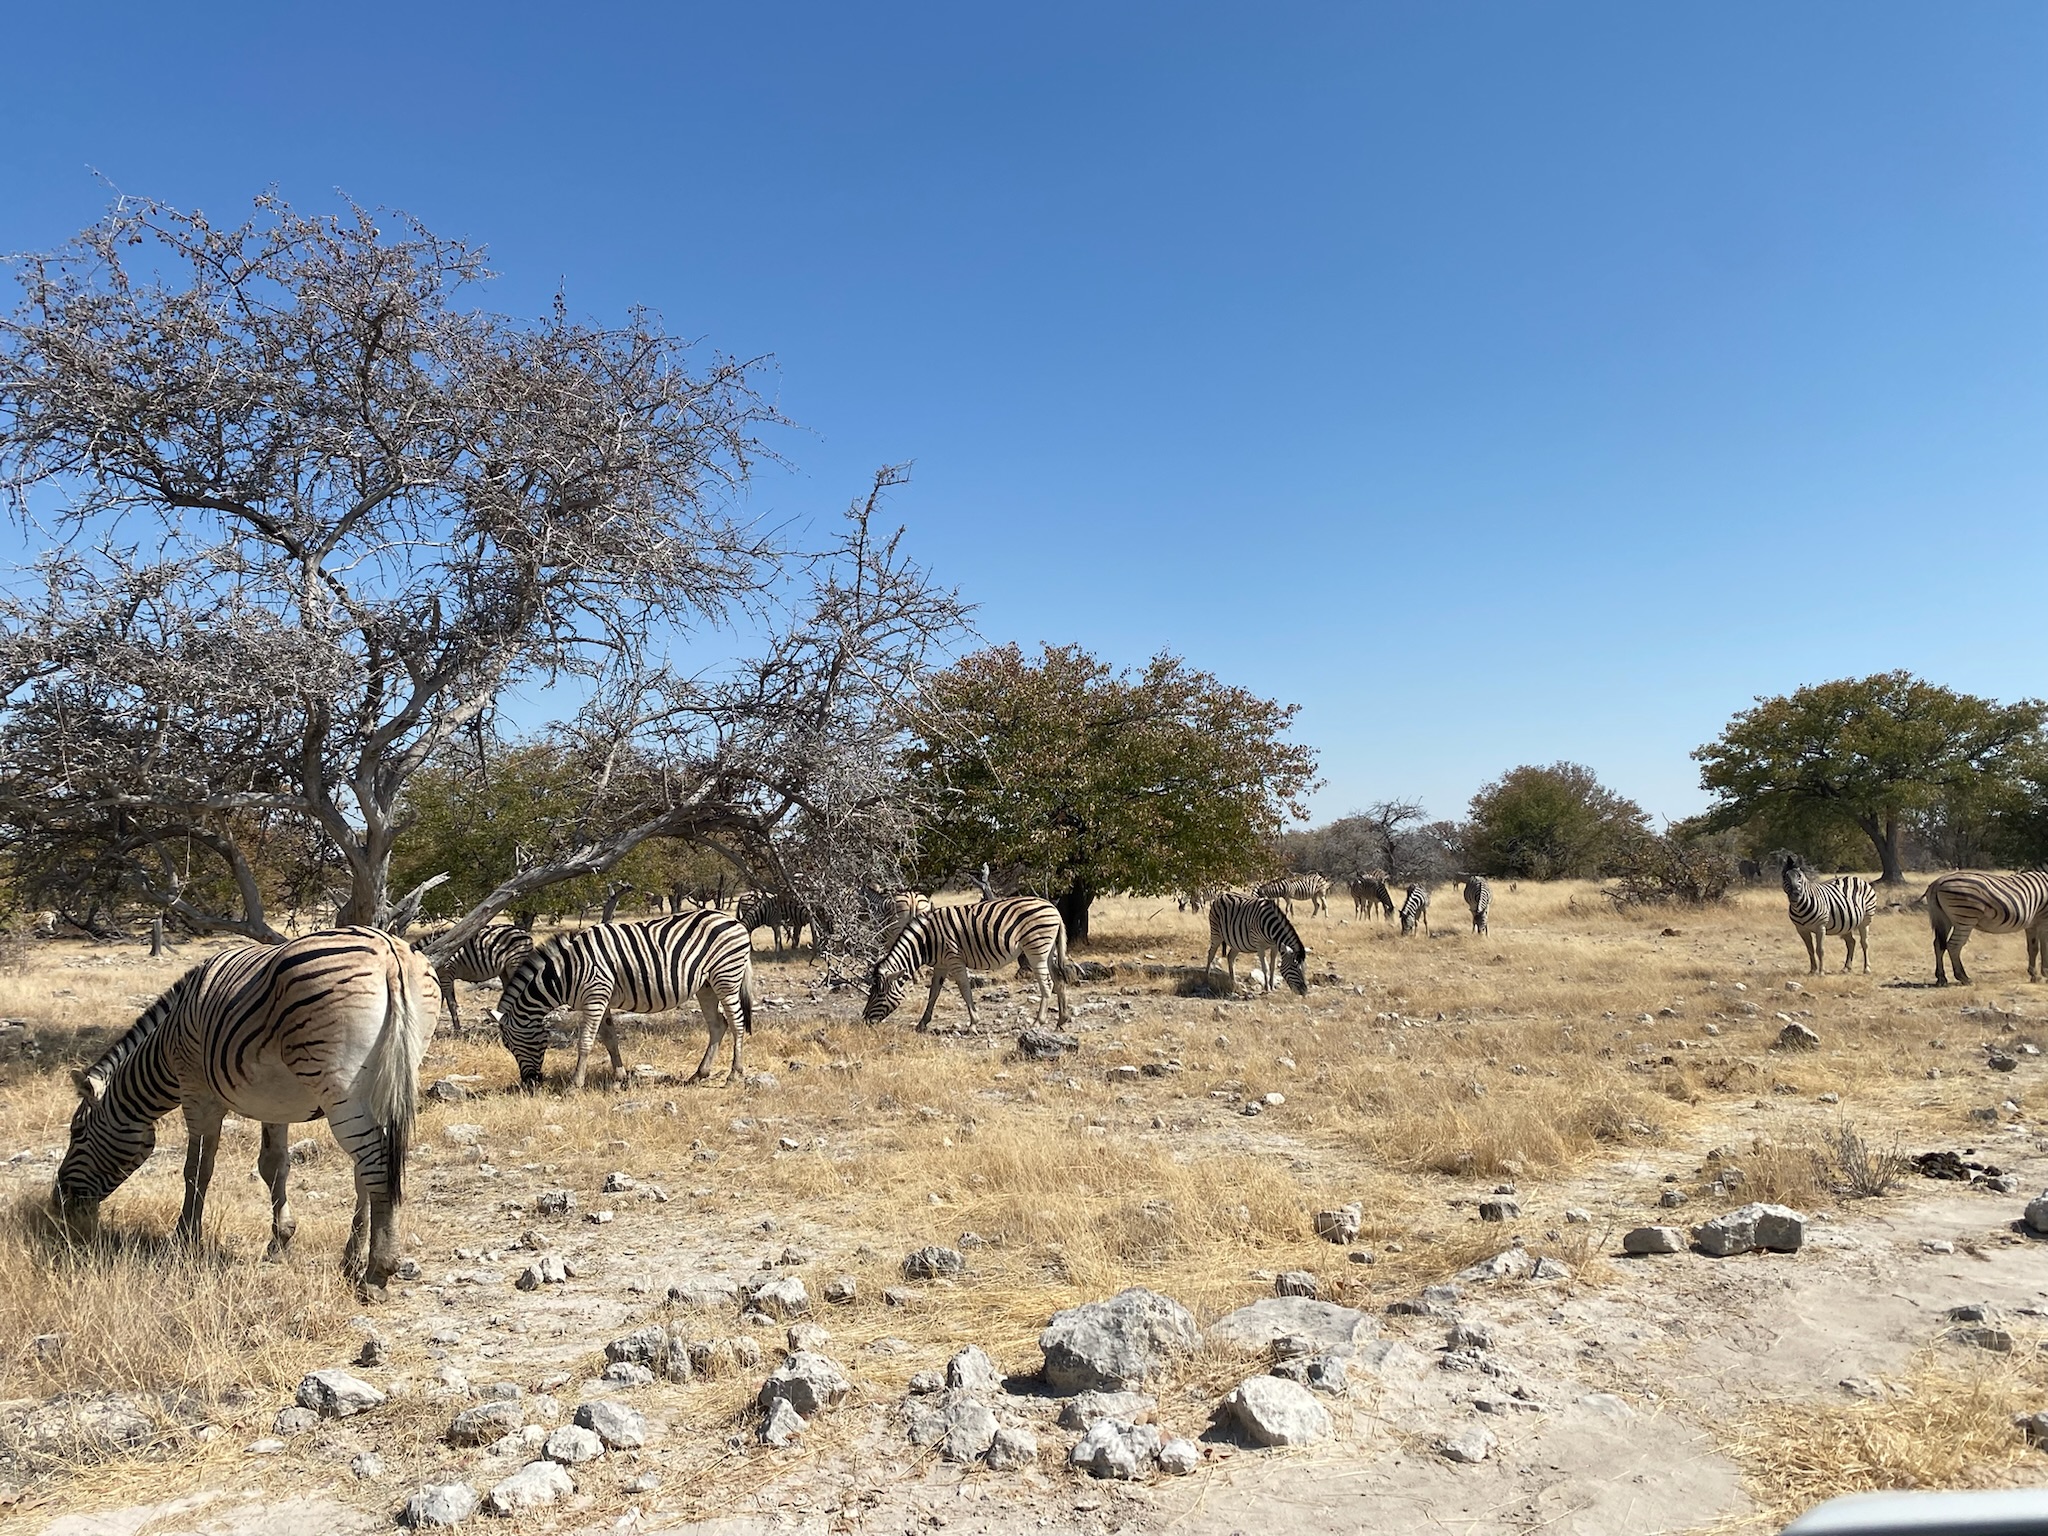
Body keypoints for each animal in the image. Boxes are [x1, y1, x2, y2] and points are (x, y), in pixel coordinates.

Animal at [53, 928, 438, 1287]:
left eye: (77, 1132)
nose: (59, 1201)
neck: (165, 1046)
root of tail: (389, 952)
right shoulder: (276, 1105)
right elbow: (273, 1167)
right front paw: (280, 1241)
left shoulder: (197, 1096)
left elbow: (197, 1170)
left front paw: (185, 1237)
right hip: (384, 1080)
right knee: (367, 1167)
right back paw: (352, 1257)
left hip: (341, 1088)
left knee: (375, 1163)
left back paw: (377, 1271)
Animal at [491, 909, 756, 1090]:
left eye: (511, 1046)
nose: (530, 1083)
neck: (566, 971)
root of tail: (734, 921)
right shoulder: (600, 999)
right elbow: (610, 1038)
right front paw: (619, 1078)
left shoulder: (595, 996)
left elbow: (586, 1041)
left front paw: (575, 1084)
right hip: (706, 986)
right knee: (718, 1025)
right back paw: (699, 1074)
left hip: (726, 977)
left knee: (736, 1023)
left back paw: (734, 1074)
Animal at [863, 897, 1069, 1029]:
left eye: (878, 994)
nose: (864, 1020)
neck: (926, 941)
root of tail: (1054, 908)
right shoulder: (941, 965)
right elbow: (933, 993)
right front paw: (922, 1023)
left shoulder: (954, 960)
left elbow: (964, 990)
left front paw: (973, 1024)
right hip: (1048, 951)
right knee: (1058, 980)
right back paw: (1061, 1020)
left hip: (1036, 950)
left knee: (1047, 984)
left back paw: (1038, 1022)